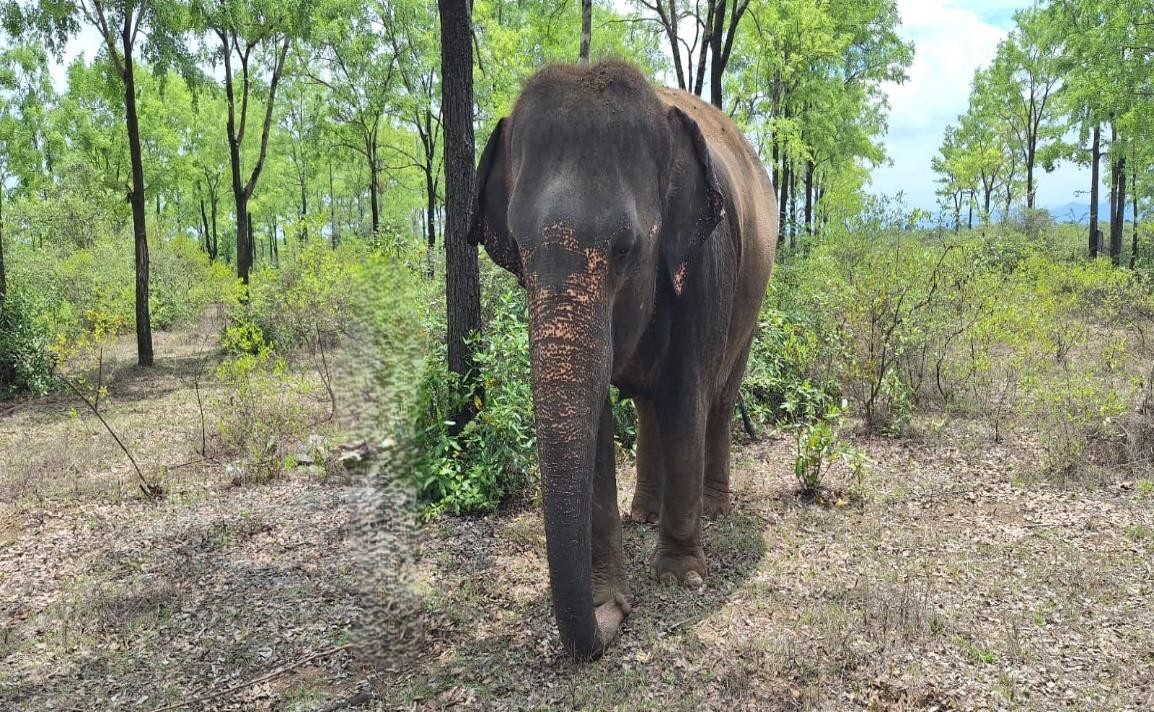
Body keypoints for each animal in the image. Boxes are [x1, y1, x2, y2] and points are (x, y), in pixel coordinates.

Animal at [468, 59, 778, 659]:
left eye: (624, 249)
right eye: (518, 250)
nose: (618, 611)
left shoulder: (705, 264)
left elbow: (685, 400)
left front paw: (680, 577)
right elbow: (599, 425)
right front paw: (607, 588)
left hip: (753, 293)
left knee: (718, 398)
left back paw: (715, 509)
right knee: (646, 407)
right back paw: (643, 514)